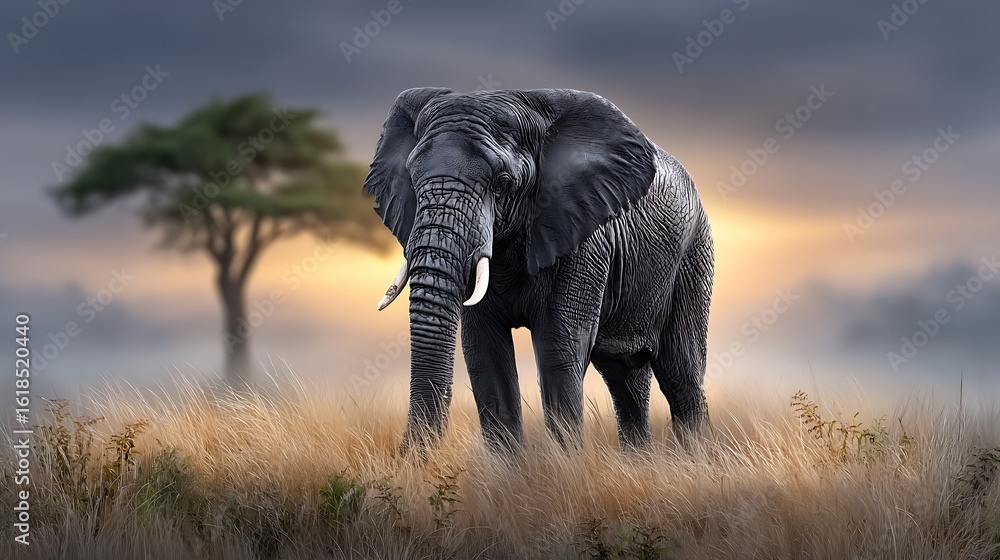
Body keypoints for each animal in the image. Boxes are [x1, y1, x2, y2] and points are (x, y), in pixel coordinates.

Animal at [364, 87, 714, 453]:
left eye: (502, 183)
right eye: (412, 179)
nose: (408, 457)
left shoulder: (584, 237)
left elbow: (559, 346)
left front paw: (564, 466)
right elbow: (484, 351)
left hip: (693, 255)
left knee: (681, 374)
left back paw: (693, 459)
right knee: (626, 380)